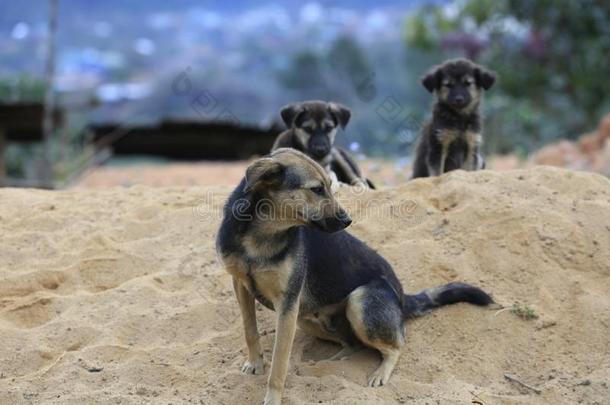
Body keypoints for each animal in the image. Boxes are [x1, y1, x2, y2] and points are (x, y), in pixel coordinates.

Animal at [216, 148, 492, 404]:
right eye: (317, 189)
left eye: (330, 185)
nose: (348, 220)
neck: (261, 232)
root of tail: (402, 296)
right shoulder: (241, 285)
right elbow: (249, 330)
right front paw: (255, 363)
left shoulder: (287, 303)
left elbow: (279, 364)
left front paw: (272, 397)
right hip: (305, 317)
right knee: (355, 343)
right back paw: (336, 360)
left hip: (358, 302)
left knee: (397, 345)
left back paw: (380, 372)